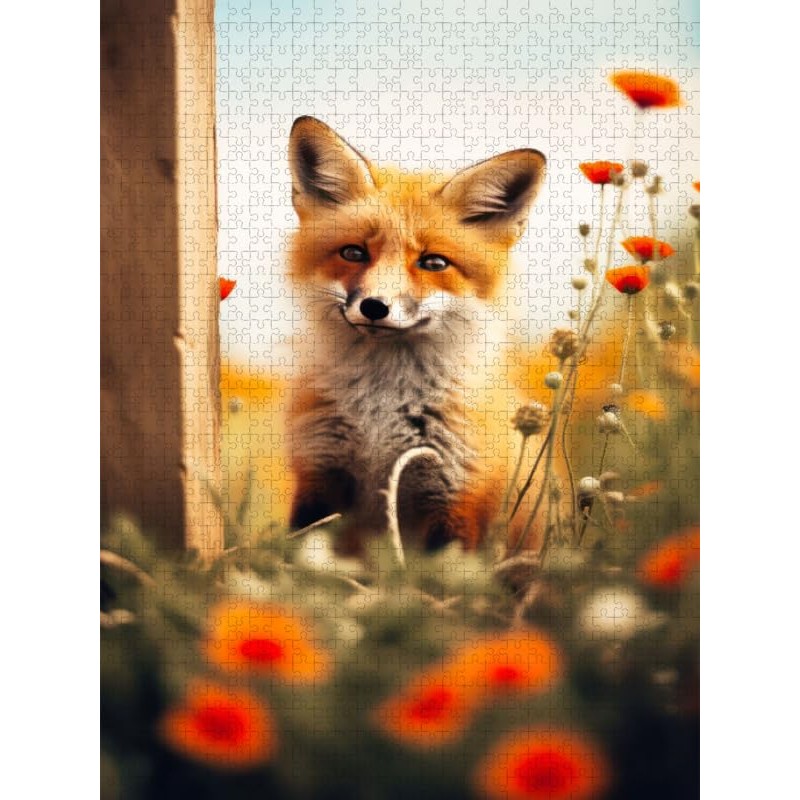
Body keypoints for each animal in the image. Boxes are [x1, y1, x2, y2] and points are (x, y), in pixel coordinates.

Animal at [285, 116, 547, 555]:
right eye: (353, 253)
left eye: (433, 263)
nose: (375, 307)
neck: (381, 410)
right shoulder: (319, 479)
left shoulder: (454, 498)